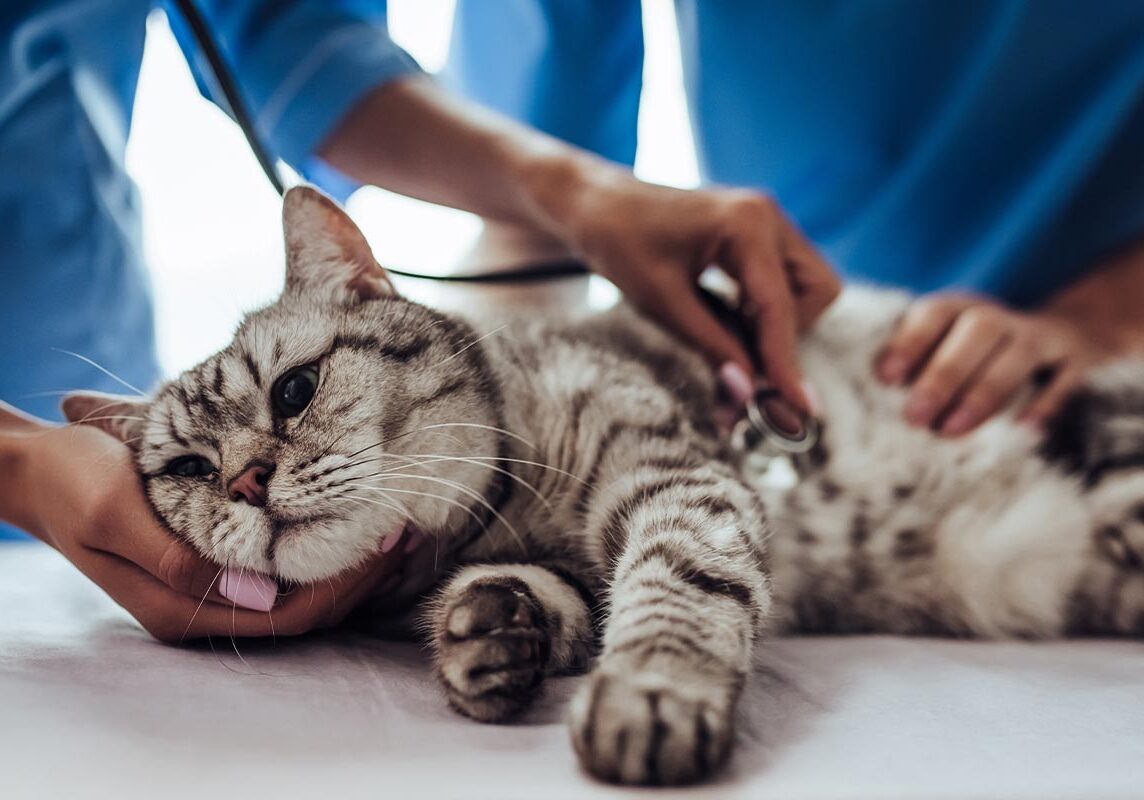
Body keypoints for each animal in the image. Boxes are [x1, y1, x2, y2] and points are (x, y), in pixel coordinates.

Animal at [62, 187, 1144, 787]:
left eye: (294, 389)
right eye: (189, 469)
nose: (245, 479)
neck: (497, 518)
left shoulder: (680, 478)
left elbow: (674, 586)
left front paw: (652, 695)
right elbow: (557, 601)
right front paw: (491, 630)